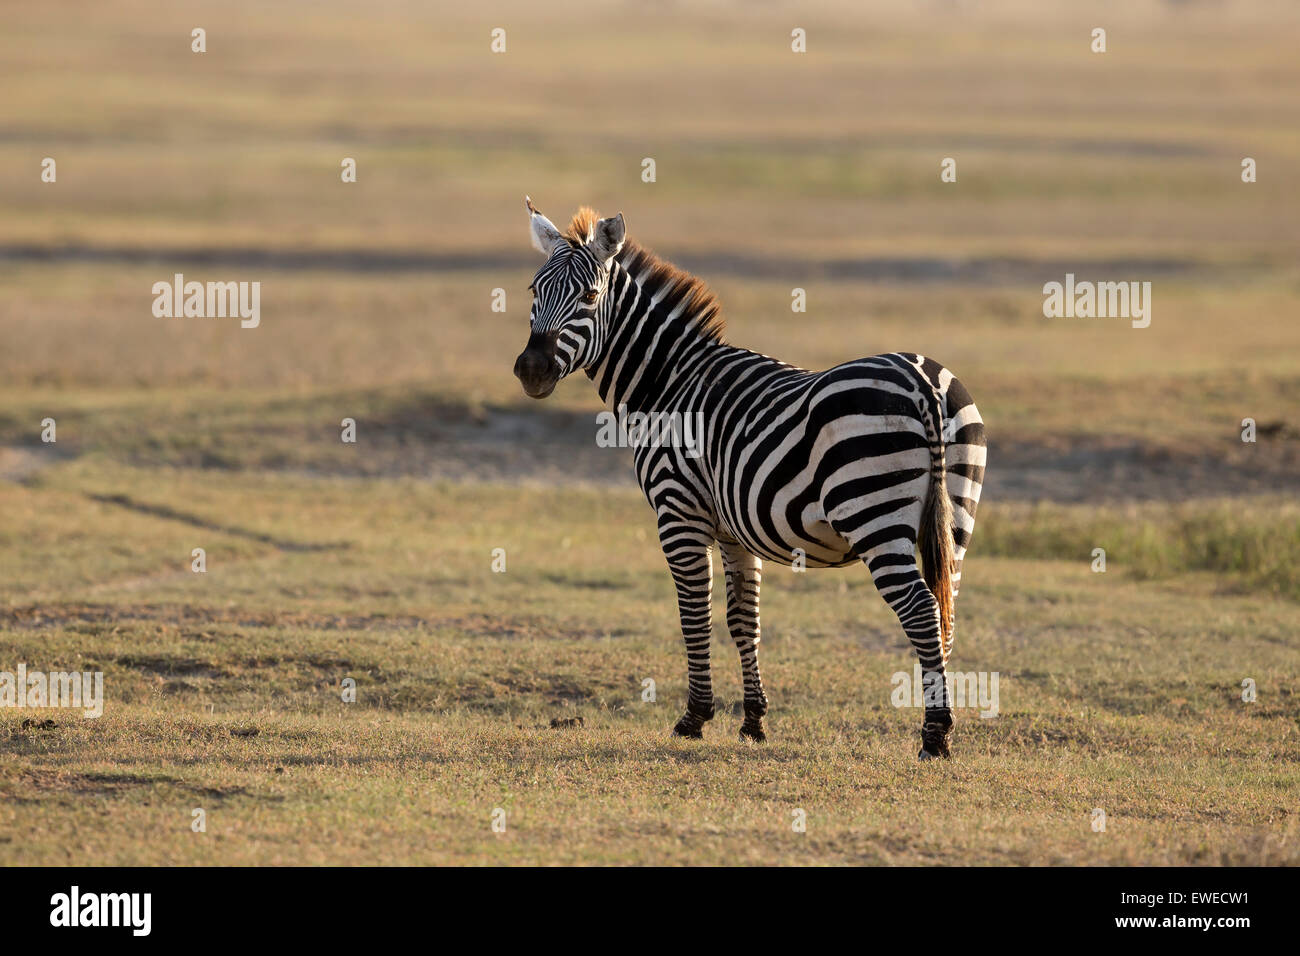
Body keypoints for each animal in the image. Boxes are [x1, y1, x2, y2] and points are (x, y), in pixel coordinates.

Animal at [512, 198, 987, 759]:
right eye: (533, 291)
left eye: (588, 296)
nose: (531, 371)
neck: (668, 382)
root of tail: (921, 380)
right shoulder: (733, 529)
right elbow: (744, 619)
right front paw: (754, 722)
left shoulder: (679, 513)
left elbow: (693, 614)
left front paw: (694, 718)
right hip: (955, 516)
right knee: (944, 608)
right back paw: (941, 722)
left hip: (874, 515)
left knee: (919, 609)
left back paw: (934, 735)